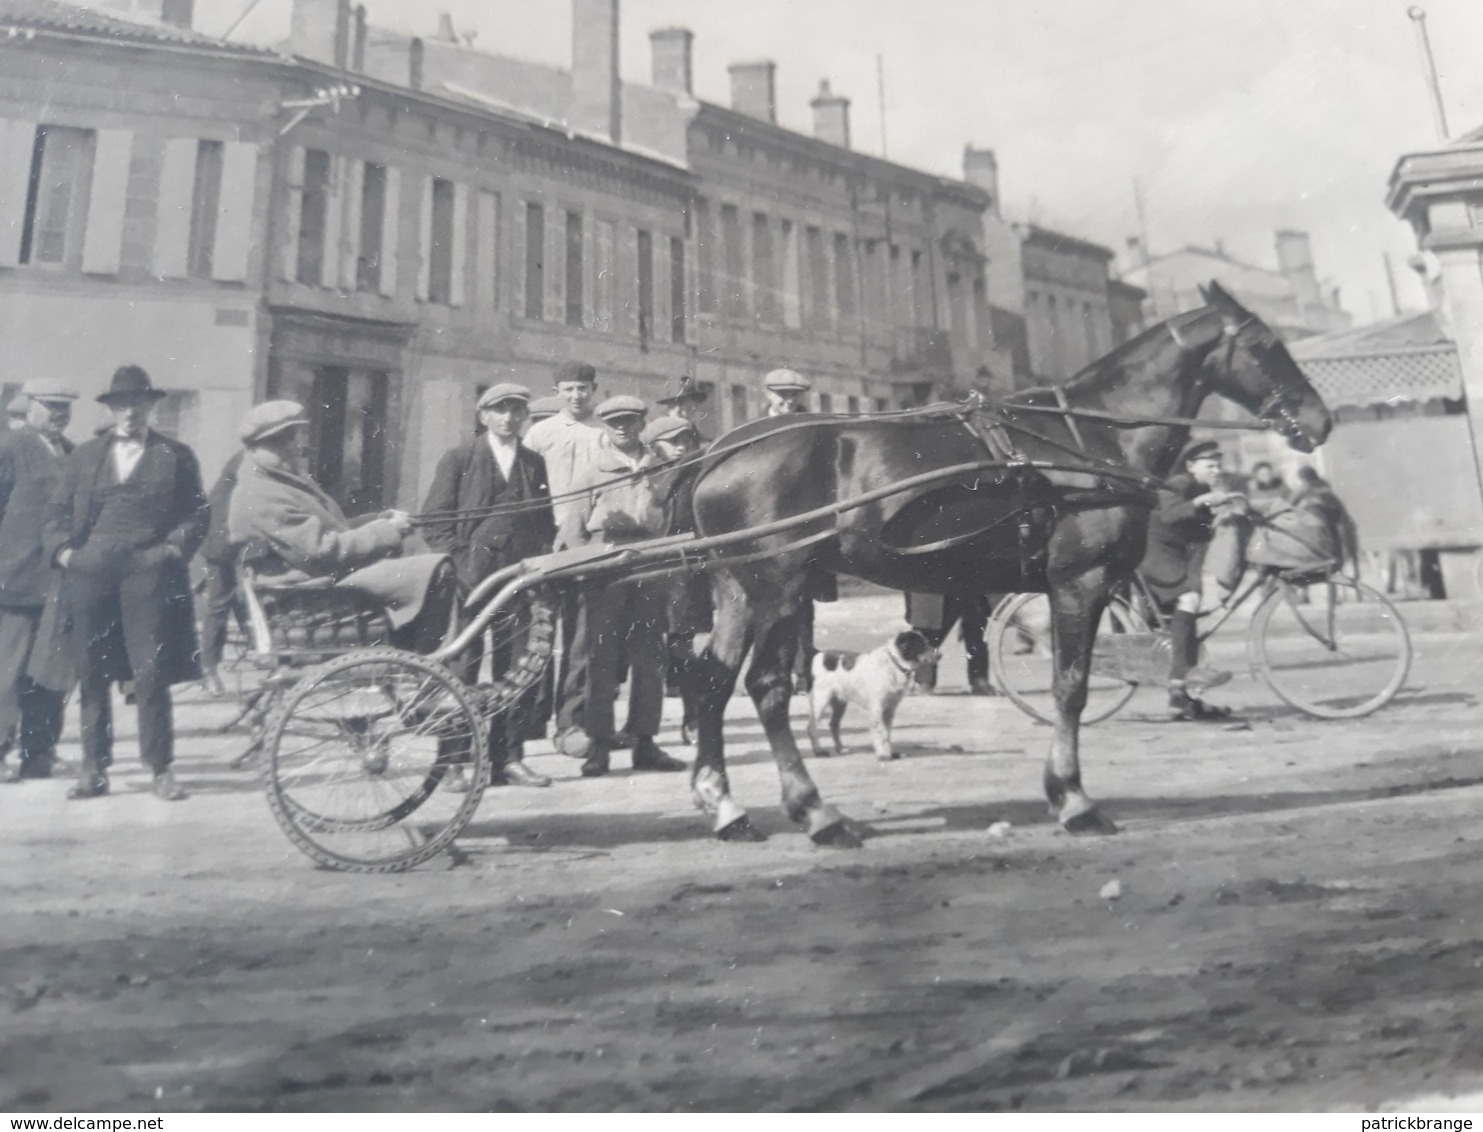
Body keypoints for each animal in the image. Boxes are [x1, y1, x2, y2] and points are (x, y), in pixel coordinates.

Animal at [812, 629, 937, 759]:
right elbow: (880, 732)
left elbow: (887, 733)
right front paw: (882, 754)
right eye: (920, 644)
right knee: (811, 727)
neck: (894, 663)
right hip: (820, 700)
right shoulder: (877, 708)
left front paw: (891, 753)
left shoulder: (890, 709)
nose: (939, 654)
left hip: (839, 703)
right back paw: (818, 751)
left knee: (833, 724)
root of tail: (819, 655)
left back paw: (840, 749)